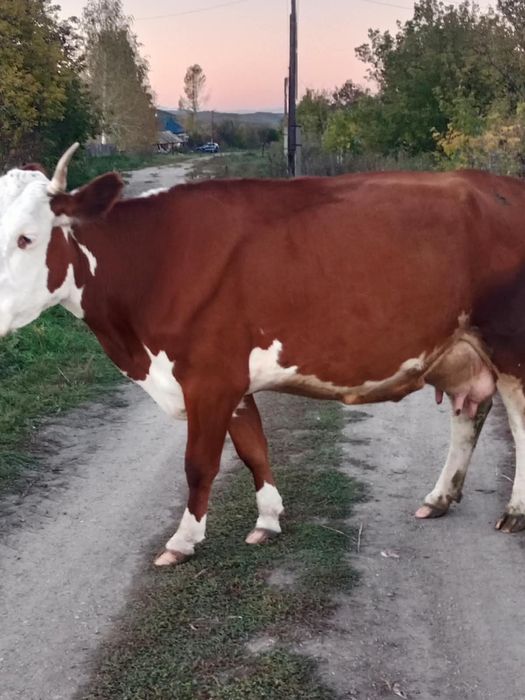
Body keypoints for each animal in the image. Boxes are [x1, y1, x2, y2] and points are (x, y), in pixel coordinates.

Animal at [1, 143, 524, 567]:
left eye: (27, 238)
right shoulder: (230, 381)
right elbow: (254, 448)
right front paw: (268, 521)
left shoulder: (208, 378)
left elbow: (199, 464)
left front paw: (183, 540)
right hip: (462, 348)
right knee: (468, 415)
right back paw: (439, 498)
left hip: (509, 344)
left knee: (519, 423)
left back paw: (514, 511)